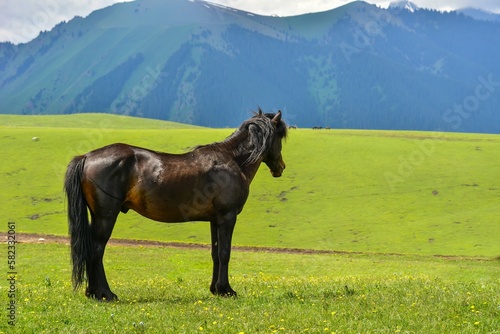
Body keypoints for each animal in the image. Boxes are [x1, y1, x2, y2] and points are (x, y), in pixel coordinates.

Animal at [64, 109, 288, 300]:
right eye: (280, 137)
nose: (281, 167)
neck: (232, 161)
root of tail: (87, 157)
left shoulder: (214, 220)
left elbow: (215, 254)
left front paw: (215, 289)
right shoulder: (227, 217)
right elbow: (225, 253)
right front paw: (226, 290)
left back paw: (93, 292)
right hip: (106, 217)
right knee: (96, 249)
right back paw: (105, 294)